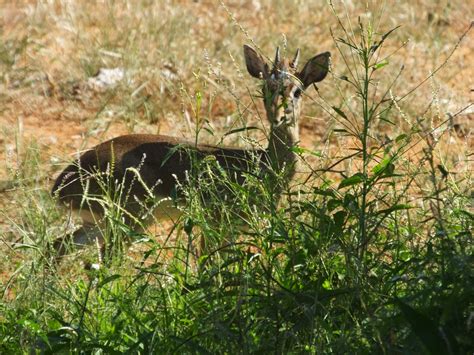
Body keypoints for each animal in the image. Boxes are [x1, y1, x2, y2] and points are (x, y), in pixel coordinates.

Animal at [51, 44, 330, 258]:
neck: (263, 166)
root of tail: (60, 186)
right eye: (265, 88)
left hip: (98, 222)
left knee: (56, 246)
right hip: (128, 220)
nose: (278, 116)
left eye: (297, 90)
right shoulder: (217, 223)